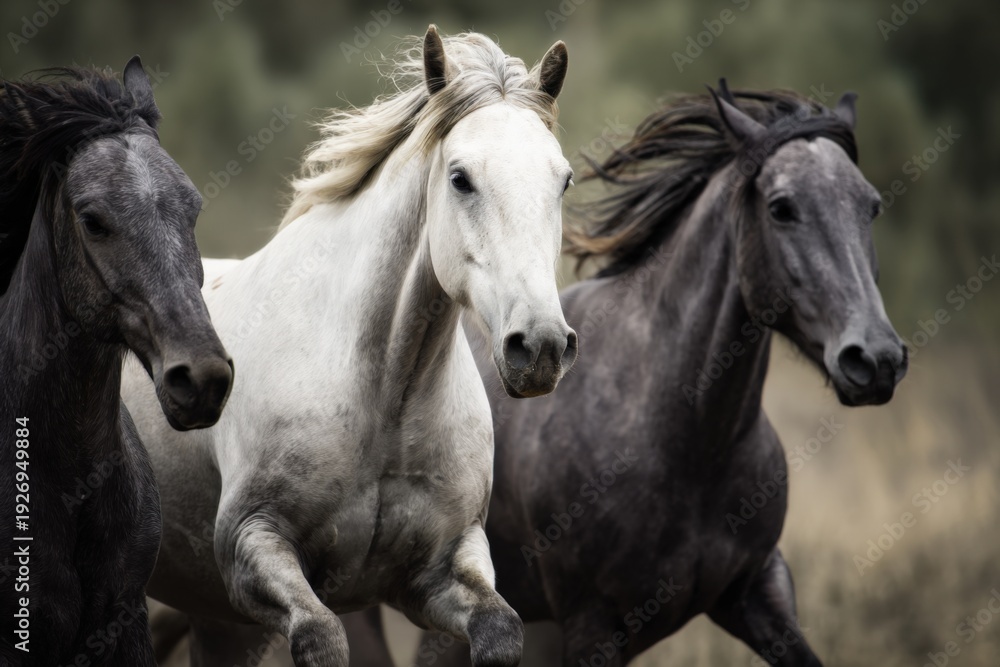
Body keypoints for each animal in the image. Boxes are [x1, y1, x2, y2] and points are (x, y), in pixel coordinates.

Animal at [121, 27, 578, 666]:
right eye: (460, 178)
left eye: (563, 179)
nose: (539, 347)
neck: (382, 396)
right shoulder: (253, 547)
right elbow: (321, 636)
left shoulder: (441, 569)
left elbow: (499, 630)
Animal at [344, 82, 910, 666]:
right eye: (782, 208)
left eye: (871, 206)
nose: (876, 359)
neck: (689, 444)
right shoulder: (593, 624)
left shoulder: (758, 591)